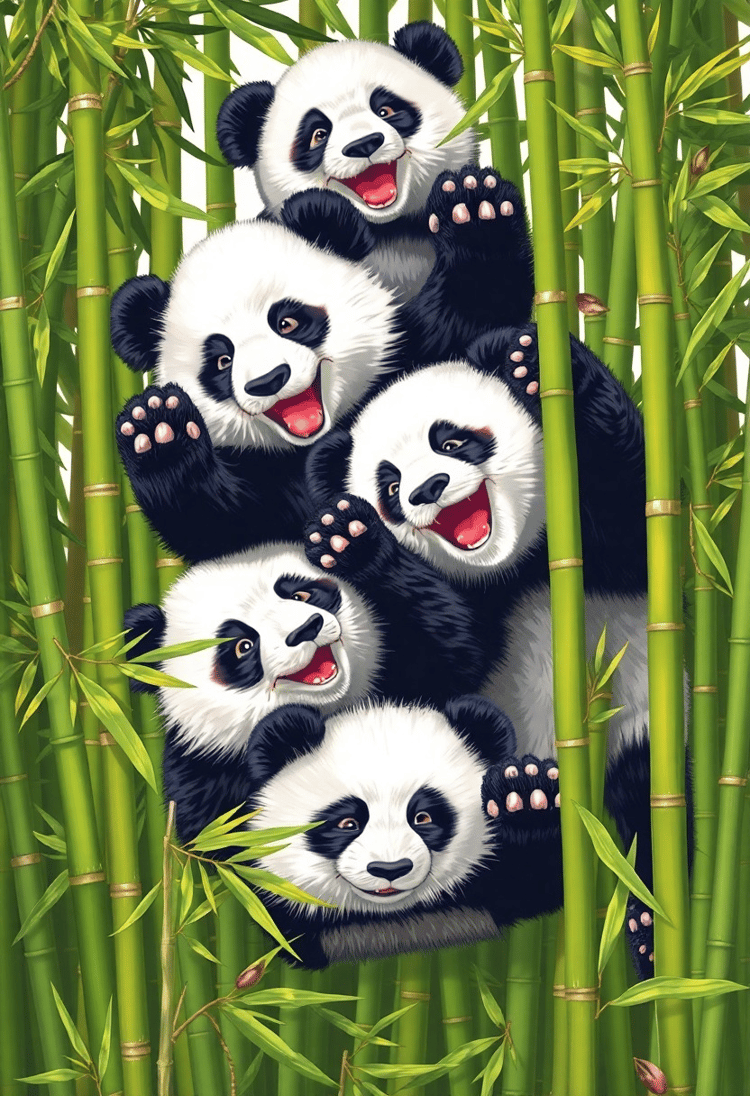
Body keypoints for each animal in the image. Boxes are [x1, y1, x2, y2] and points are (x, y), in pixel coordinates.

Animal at [112, 175, 532, 565]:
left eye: (288, 322)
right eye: (221, 360)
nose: (268, 380)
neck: (316, 437)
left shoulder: (415, 350)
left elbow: (477, 307)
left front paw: (474, 209)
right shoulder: (266, 474)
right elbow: (223, 526)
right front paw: (157, 427)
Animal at [123, 524, 492, 846]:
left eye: (301, 594)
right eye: (243, 646)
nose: (306, 629)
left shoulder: (411, 677)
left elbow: (456, 647)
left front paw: (348, 541)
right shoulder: (206, 779)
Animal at [304, 322, 690, 979]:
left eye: (454, 441)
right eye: (389, 484)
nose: (428, 489)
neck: (513, 566)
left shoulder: (615, 556)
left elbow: (639, 504)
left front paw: (532, 365)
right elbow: (446, 656)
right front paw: (349, 539)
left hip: (644, 729)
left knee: (651, 801)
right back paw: (523, 802)